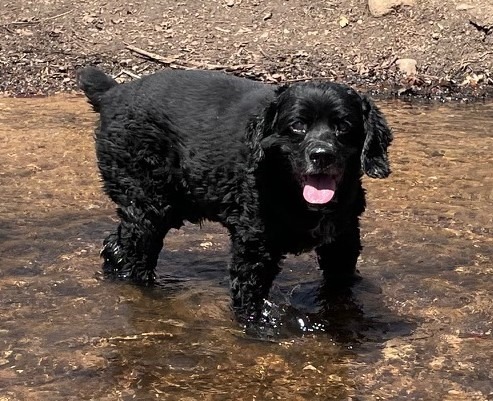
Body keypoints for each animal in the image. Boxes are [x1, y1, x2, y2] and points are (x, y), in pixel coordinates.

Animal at [78, 67, 392, 324]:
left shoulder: (342, 241)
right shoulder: (254, 247)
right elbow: (249, 295)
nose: (321, 155)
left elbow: (340, 286)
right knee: (134, 255)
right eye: (297, 125)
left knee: (115, 245)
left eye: (344, 126)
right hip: (148, 208)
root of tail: (112, 93)